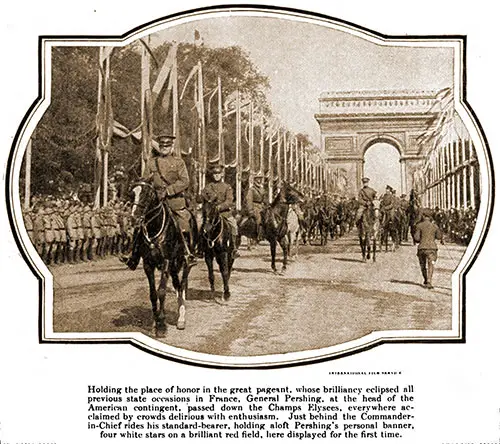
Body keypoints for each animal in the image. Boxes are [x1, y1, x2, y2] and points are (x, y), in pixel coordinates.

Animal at [130, 180, 196, 336]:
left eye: (146, 196)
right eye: (132, 194)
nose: (133, 218)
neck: (155, 228)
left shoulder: (166, 261)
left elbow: (161, 291)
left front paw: (161, 325)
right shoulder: (148, 264)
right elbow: (153, 293)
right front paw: (155, 321)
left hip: (184, 262)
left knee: (182, 286)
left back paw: (181, 318)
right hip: (173, 267)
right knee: (177, 285)